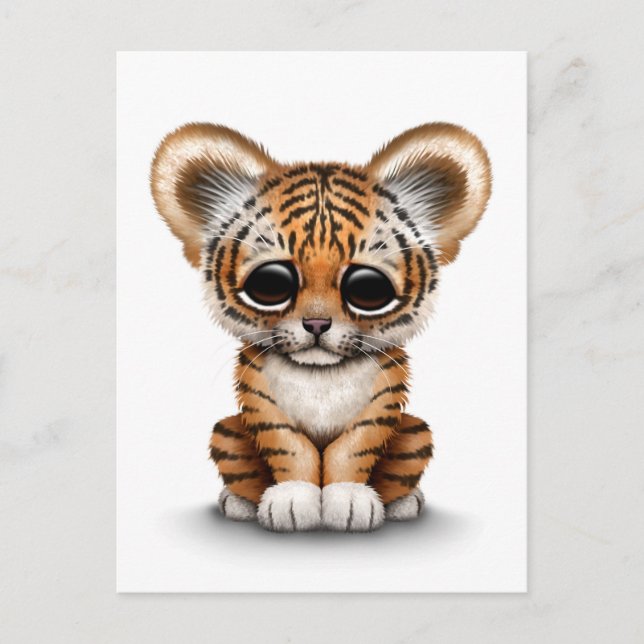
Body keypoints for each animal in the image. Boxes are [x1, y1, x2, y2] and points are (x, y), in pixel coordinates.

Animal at [151, 122, 491, 532]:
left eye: (368, 288)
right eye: (271, 283)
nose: (316, 323)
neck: (320, 377)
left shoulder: (380, 404)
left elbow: (352, 450)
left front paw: (349, 501)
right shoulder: (263, 404)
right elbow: (291, 449)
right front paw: (293, 500)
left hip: (416, 432)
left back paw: (405, 503)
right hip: (226, 432)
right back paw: (239, 503)